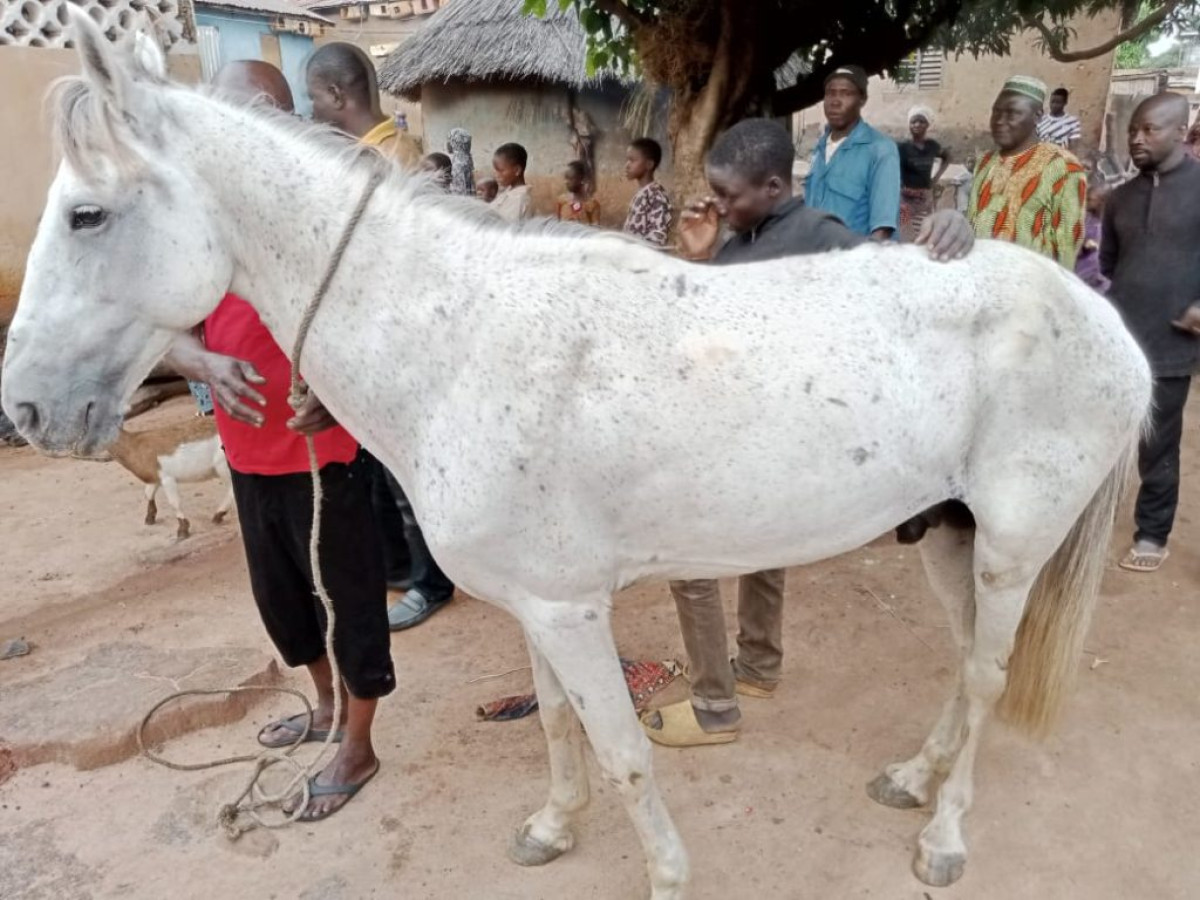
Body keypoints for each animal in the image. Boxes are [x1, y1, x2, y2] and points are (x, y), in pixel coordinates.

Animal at [2, 17, 1152, 898]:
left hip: (1011, 548)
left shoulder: (569, 608)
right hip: (945, 534)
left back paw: (942, 836)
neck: (460, 342)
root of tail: (1099, 320)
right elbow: (557, 724)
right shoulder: (537, 605)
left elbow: (626, 751)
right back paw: (915, 778)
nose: (27, 407)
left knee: (990, 673)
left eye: (87, 214)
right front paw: (554, 828)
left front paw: (668, 876)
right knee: (963, 664)